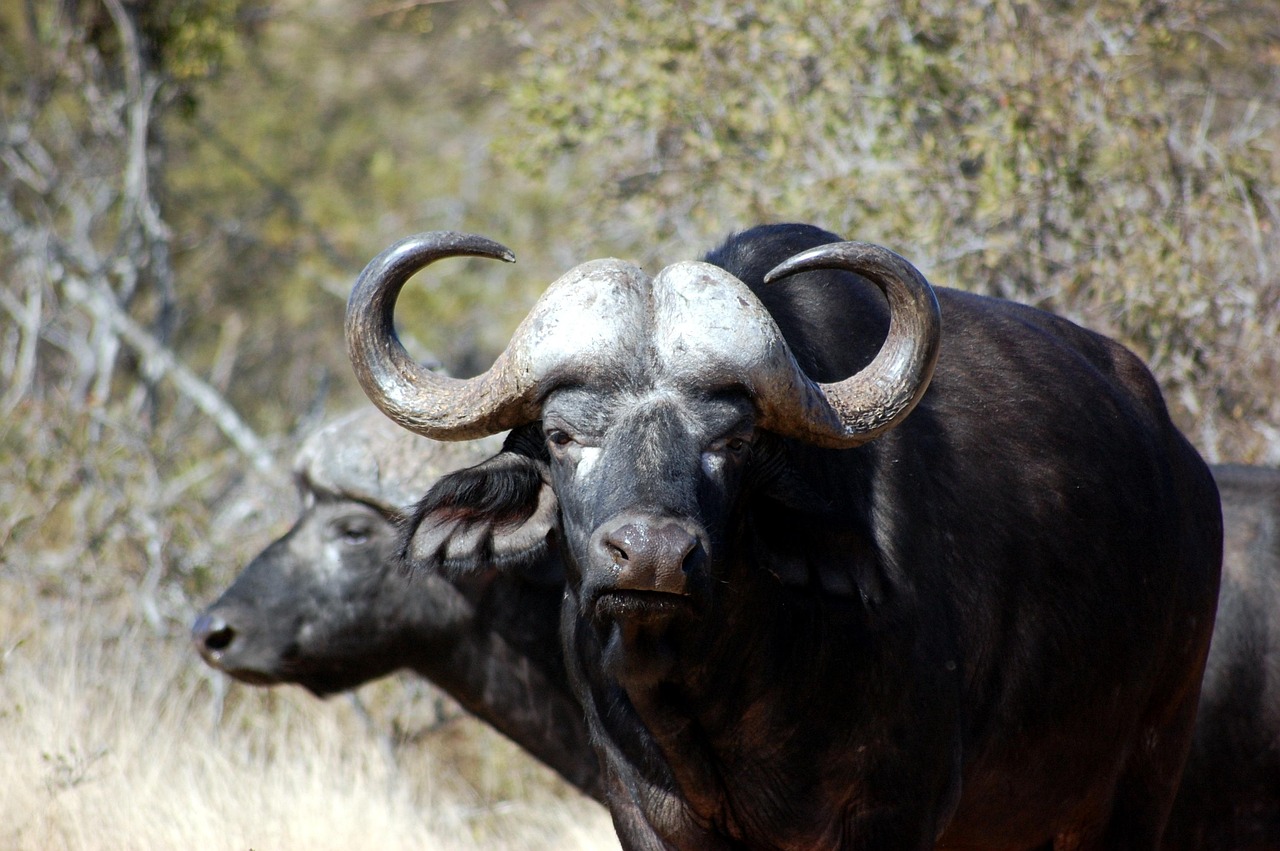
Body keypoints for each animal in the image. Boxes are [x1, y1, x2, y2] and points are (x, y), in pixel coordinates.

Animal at [346, 222, 1221, 849]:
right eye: (562, 435)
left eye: (732, 440)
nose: (652, 556)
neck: (725, 688)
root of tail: (1188, 473)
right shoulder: (641, 812)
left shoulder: (894, 812)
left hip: (1140, 778)